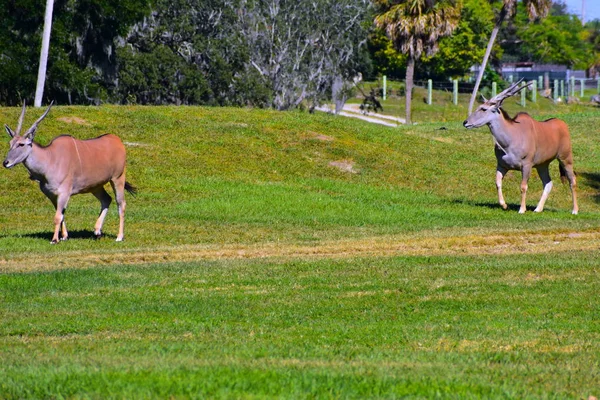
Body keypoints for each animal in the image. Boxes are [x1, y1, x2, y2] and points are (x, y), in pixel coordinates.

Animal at [2, 101, 136, 242]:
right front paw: (64, 236)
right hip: (95, 186)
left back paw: (119, 236)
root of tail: (117, 141)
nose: (5, 163)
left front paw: (55, 239)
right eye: (10, 143)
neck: (50, 159)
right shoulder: (52, 195)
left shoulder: (64, 193)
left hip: (118, 178)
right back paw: (97, 230)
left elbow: (57, 216)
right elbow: (61, 215)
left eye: (21, 144)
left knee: (121, 203)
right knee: (106, 199)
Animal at [464, 79, 576, 214]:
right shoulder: (502, 165)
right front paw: (504, 205)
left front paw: (522, 209)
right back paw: (538, 209)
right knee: (548, 183)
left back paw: (575, 210)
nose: (465, 122)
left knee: (572, 180)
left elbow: (523, 186)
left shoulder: (526, 165)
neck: (510, 139)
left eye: (484, 109)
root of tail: (562, 124)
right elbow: (498, 182)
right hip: (542, 165)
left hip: (565, 158)